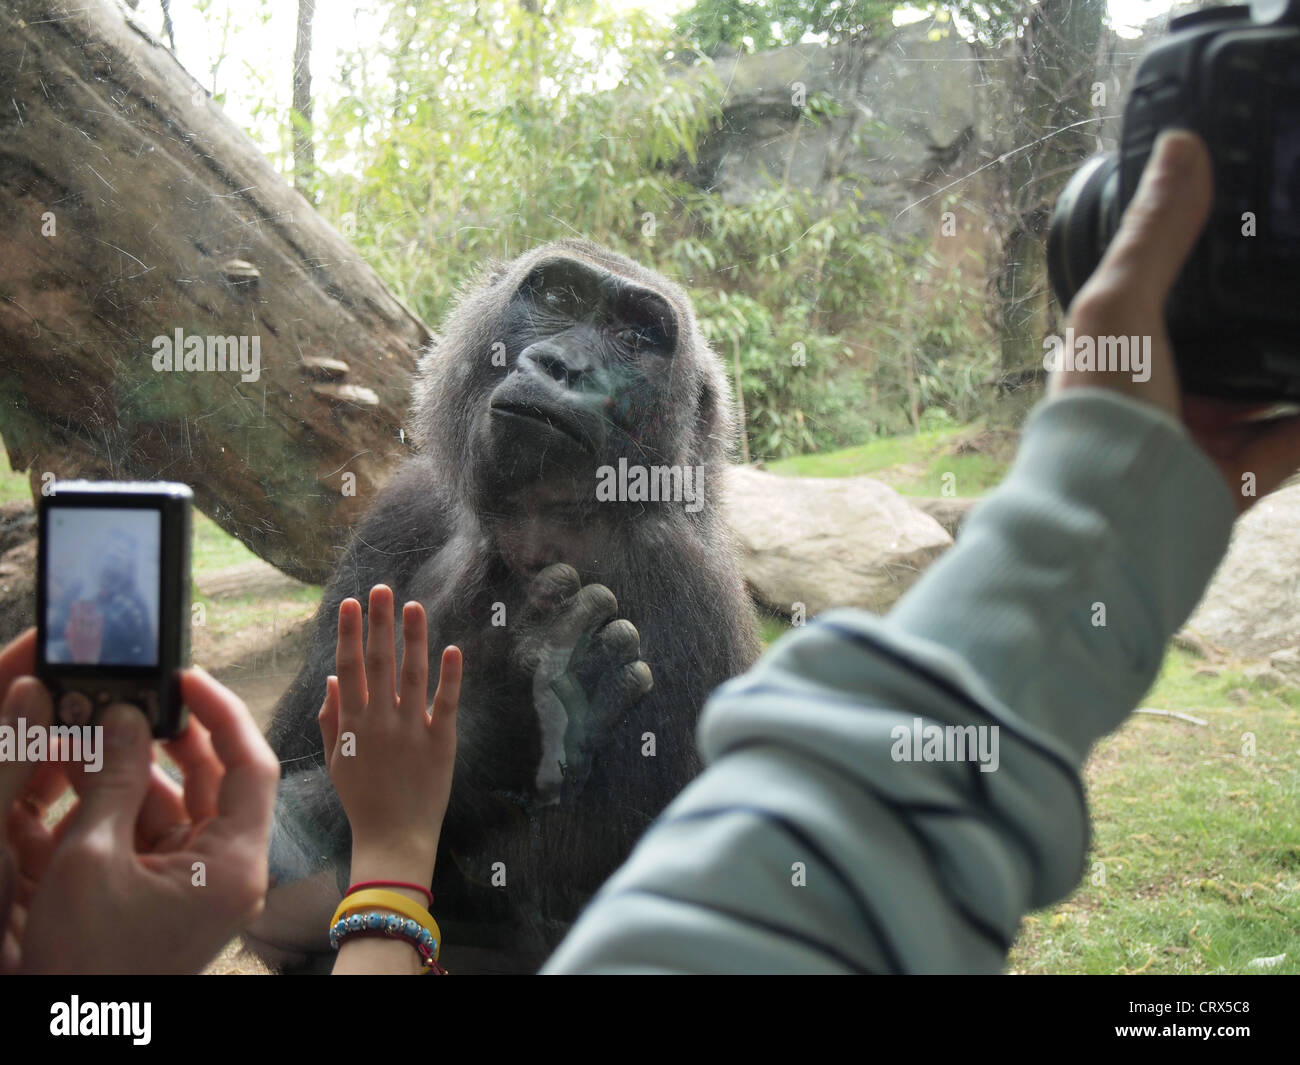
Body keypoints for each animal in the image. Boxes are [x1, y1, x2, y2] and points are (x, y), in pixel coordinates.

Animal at [250, 239, 759, 972]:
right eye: (557, 298)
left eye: (638, 337)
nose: (565, 367)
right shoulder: (404, 507)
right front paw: (499, 722)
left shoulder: (687, 589)